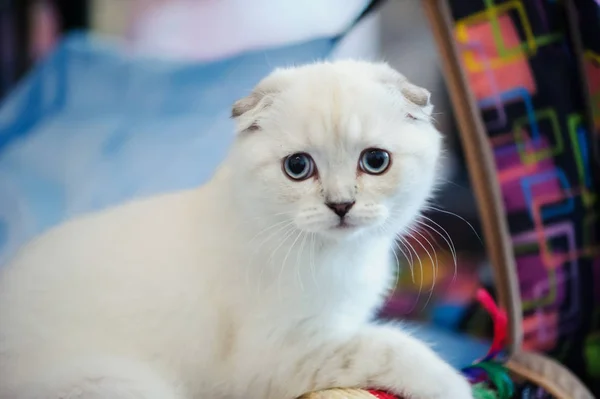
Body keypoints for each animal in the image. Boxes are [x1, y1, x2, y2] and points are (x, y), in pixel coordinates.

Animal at [0, 61, 472, 398]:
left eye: (375, 161)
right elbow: (390, 345)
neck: (339, 257)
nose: (341, 205)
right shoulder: (273, 358)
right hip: (119, 384)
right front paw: (453, 385)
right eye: (298, 167)